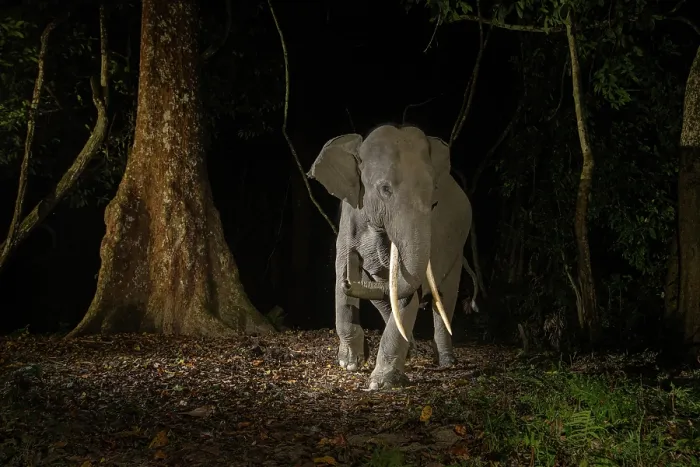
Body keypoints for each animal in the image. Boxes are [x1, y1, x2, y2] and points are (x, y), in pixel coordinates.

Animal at [307, 124, 479, 390]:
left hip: (457, 249)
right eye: (385, 189)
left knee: (443, 297)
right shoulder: (349, 217)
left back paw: (446, 362)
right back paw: (412, 353)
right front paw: (350, 364)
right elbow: (340, 268)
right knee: (383, 297)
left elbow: (409, 292)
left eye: (434, 201)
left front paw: (380, 383)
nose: (350, 280)